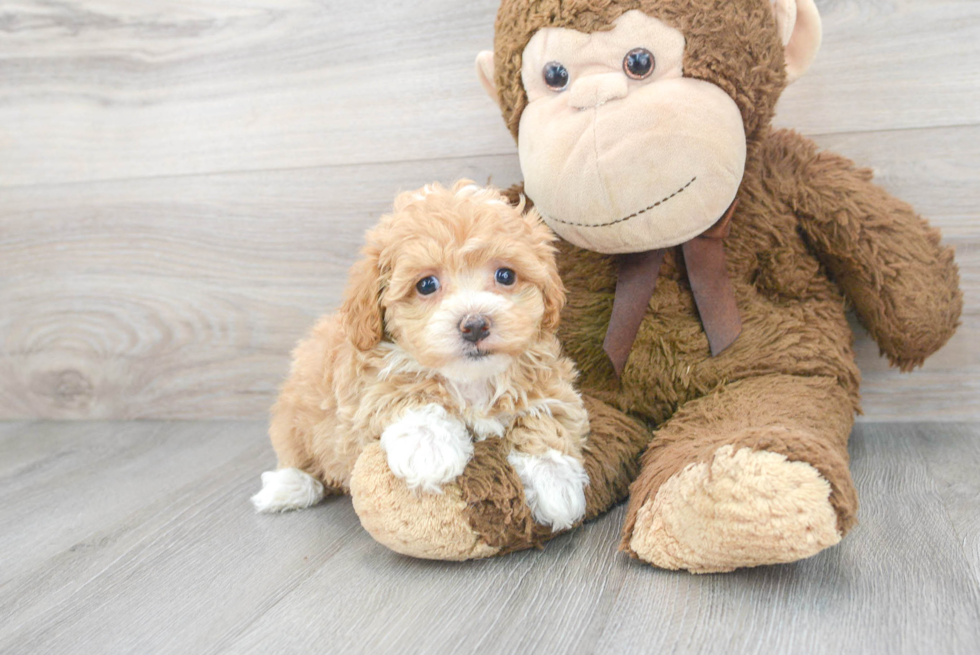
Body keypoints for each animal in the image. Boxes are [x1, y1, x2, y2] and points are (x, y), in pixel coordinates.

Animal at [253, 179, 588, 532]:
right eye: (426, 284)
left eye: (506, 276)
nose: (475, 325)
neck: (470, 380)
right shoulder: (364, 389)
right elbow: (406, 392)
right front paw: (429, 449)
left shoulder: (549, 382)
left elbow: (546, 417)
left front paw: (555, 480)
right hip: (295, 415)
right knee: (297, 455)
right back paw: (286, 487)